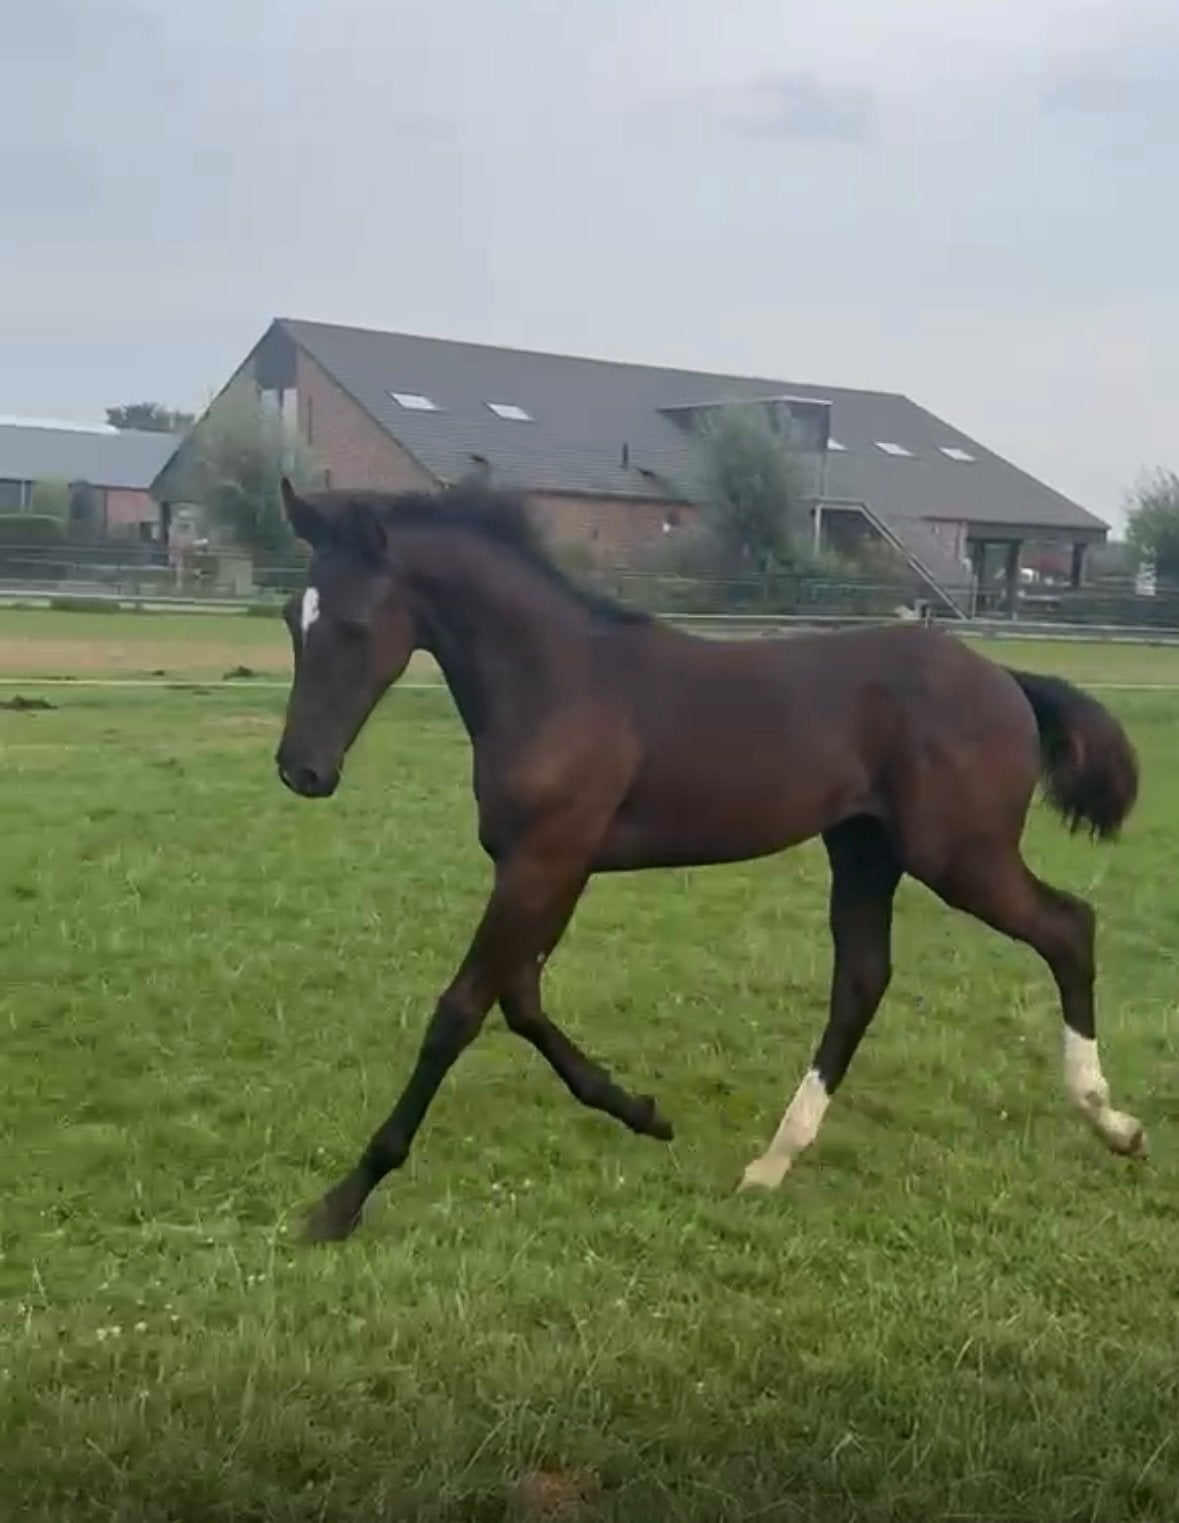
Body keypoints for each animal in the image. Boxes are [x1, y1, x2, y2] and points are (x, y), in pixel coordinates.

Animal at [273, 477, 1144, 1242]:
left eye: (355, 623)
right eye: (292, 615)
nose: (300, 770)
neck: (556, 680)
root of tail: (1005, 677)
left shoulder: (544, 862)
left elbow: (459, 1011)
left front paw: (343, 1198)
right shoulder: (545, 868)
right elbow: (519, 1001)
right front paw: (644, 1112)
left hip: (958, 855)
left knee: (1068, 926)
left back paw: (1111, 1120)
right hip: (865, 849)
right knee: (862, 979)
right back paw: (772, 1161)